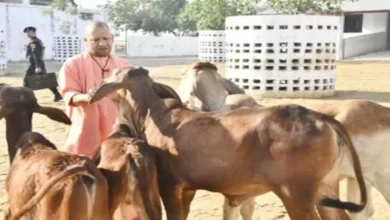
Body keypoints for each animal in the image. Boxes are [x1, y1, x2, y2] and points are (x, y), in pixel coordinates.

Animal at [87, 67, 366, 220]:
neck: (149, 114)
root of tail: (317, 116)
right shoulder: (187, 189)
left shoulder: (169, 185)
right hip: (325, 188)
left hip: (297, 196)